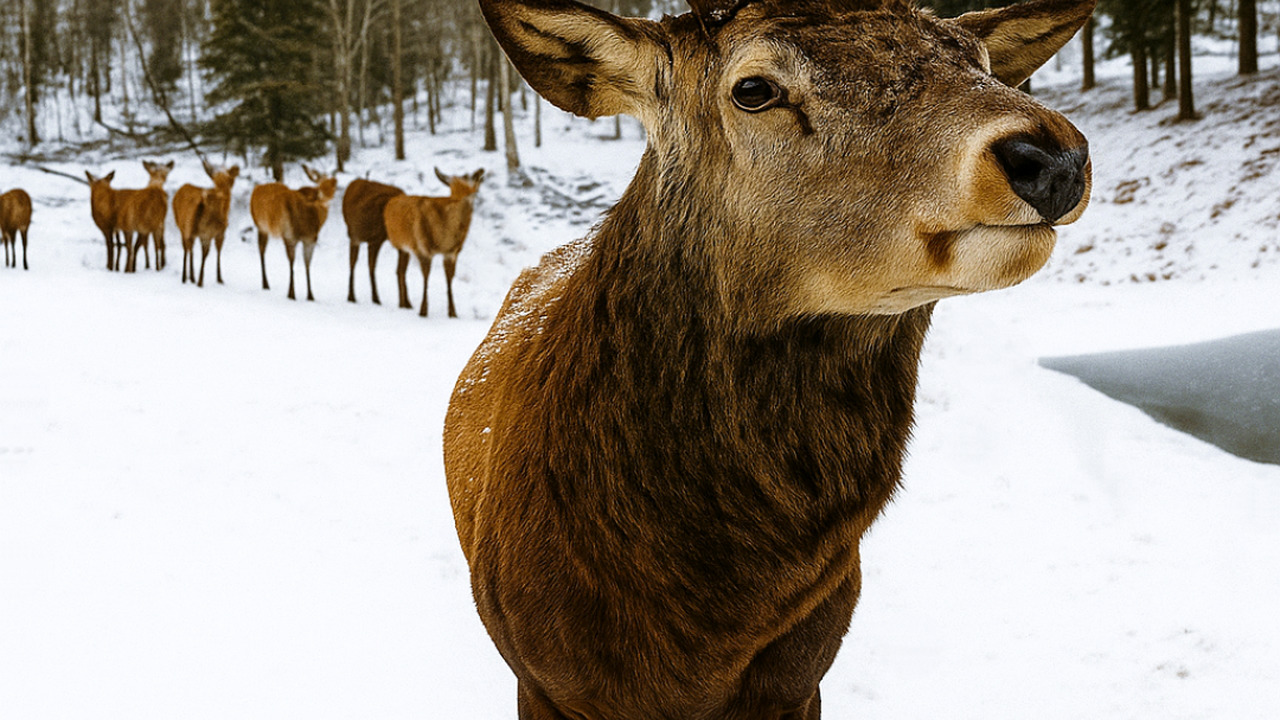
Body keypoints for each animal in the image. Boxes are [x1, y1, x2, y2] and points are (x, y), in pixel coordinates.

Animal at [250, 166, 338, 302]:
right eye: (320, 185)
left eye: (334, 186)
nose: (324, 197)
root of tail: (256, 188)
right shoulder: (289, 236)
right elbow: (292, 262)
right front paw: (291, 293)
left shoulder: (310, 240)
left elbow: (307, 264)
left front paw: (310, 295)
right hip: (261, 227)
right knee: (262, 249)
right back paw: (265, 284)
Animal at [383, 168, 485, 317]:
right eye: (468, 177)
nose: (481, 170)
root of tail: (391, 201)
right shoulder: (423, 248)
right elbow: (426, 277)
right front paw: (423, 311)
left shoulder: (452, 253)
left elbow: (449, 279)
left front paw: (452, 312)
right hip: (400, 244)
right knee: (400, 271)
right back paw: (404, 304)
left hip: (405, 249)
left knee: (400, 270)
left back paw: (406, 303)